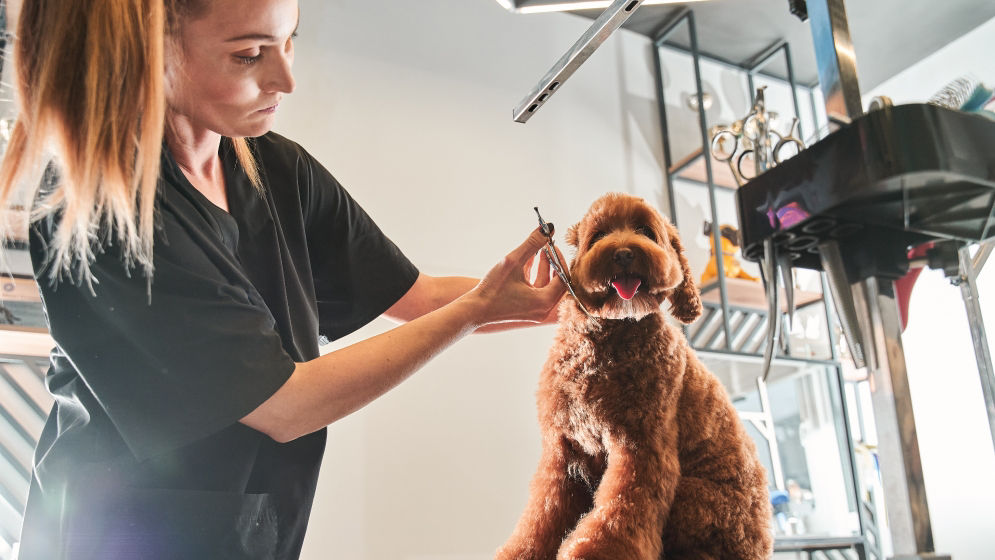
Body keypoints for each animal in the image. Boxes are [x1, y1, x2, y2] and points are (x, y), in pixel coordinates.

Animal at [496, 194, 772, 560]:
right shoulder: (564, 453)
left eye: (645, 231)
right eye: (598, 235)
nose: (624, 253)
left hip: (696, 500)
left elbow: (621, 511)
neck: (606, 338)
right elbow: (541, 517)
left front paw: (592, 553)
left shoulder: (641, 445)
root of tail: (762, 541)